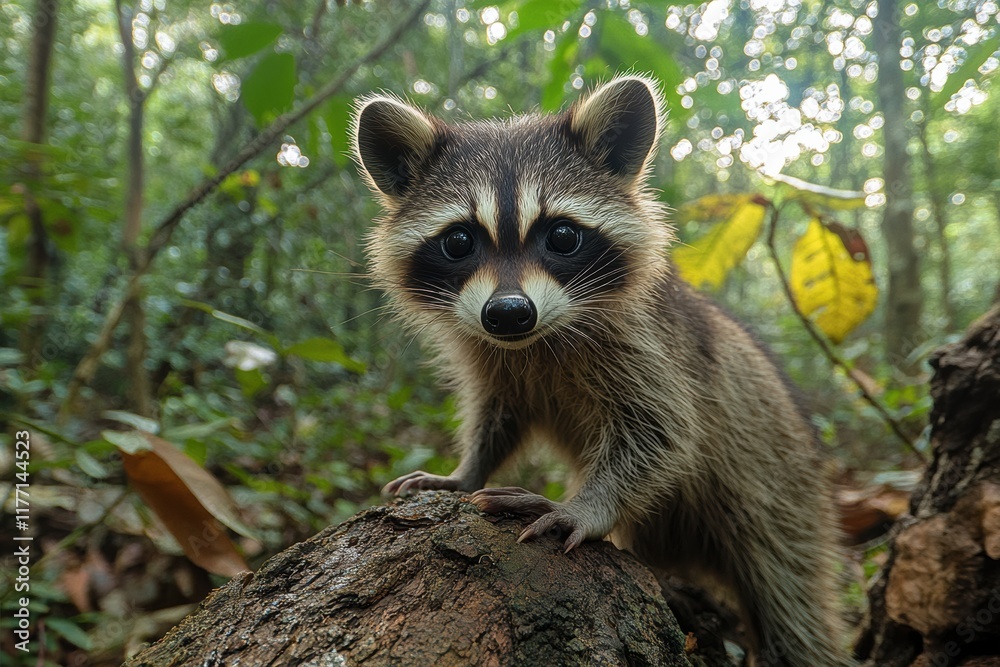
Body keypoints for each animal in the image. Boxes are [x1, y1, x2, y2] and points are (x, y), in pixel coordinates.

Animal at [351, 75, 852, 666]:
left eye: (563, 236)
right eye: (458, 241)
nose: (509, 312)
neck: (536, 340)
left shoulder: (649, 347)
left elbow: (662, 431)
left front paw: (586, 505)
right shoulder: (495, 359)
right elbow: (498, 417)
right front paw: (468, 470)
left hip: (784, 495)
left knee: (794, 601)